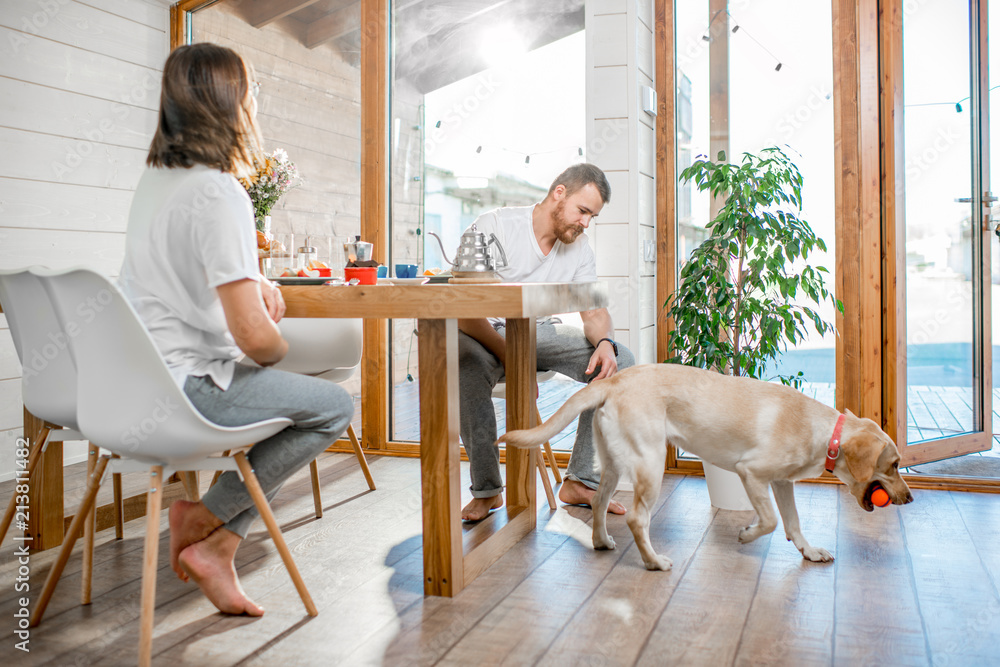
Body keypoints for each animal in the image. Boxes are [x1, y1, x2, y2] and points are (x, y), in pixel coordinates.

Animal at [500, 362, 916, 572]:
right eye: (895, 465)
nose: (910, 499)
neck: (824, 431)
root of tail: (614, 381)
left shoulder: (782, 483)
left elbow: (793, 524)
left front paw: (809, 552)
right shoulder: (752, 473)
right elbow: (770, 521)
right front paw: (746, 535)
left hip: (614, 466)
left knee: (600, 503)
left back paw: (601, 541)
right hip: (650, 464)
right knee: (636, 519)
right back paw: (654, 562)